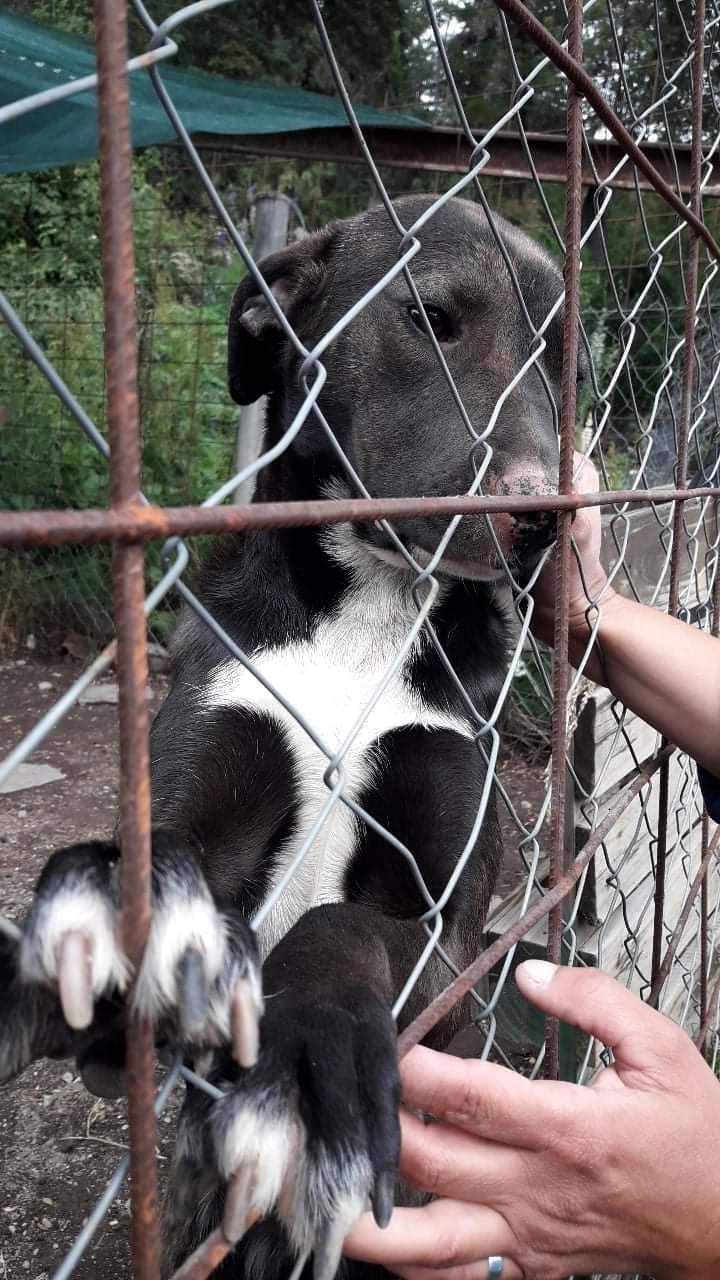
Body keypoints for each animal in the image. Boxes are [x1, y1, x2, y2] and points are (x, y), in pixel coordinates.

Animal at [0, 195, 567, 1280]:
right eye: (432, 319)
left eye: (564, 360)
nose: (543, 520)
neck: (366, 611)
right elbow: (158, 857)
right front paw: (89, 899)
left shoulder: (447, 930)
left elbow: (342, 920)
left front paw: (311, 1050)